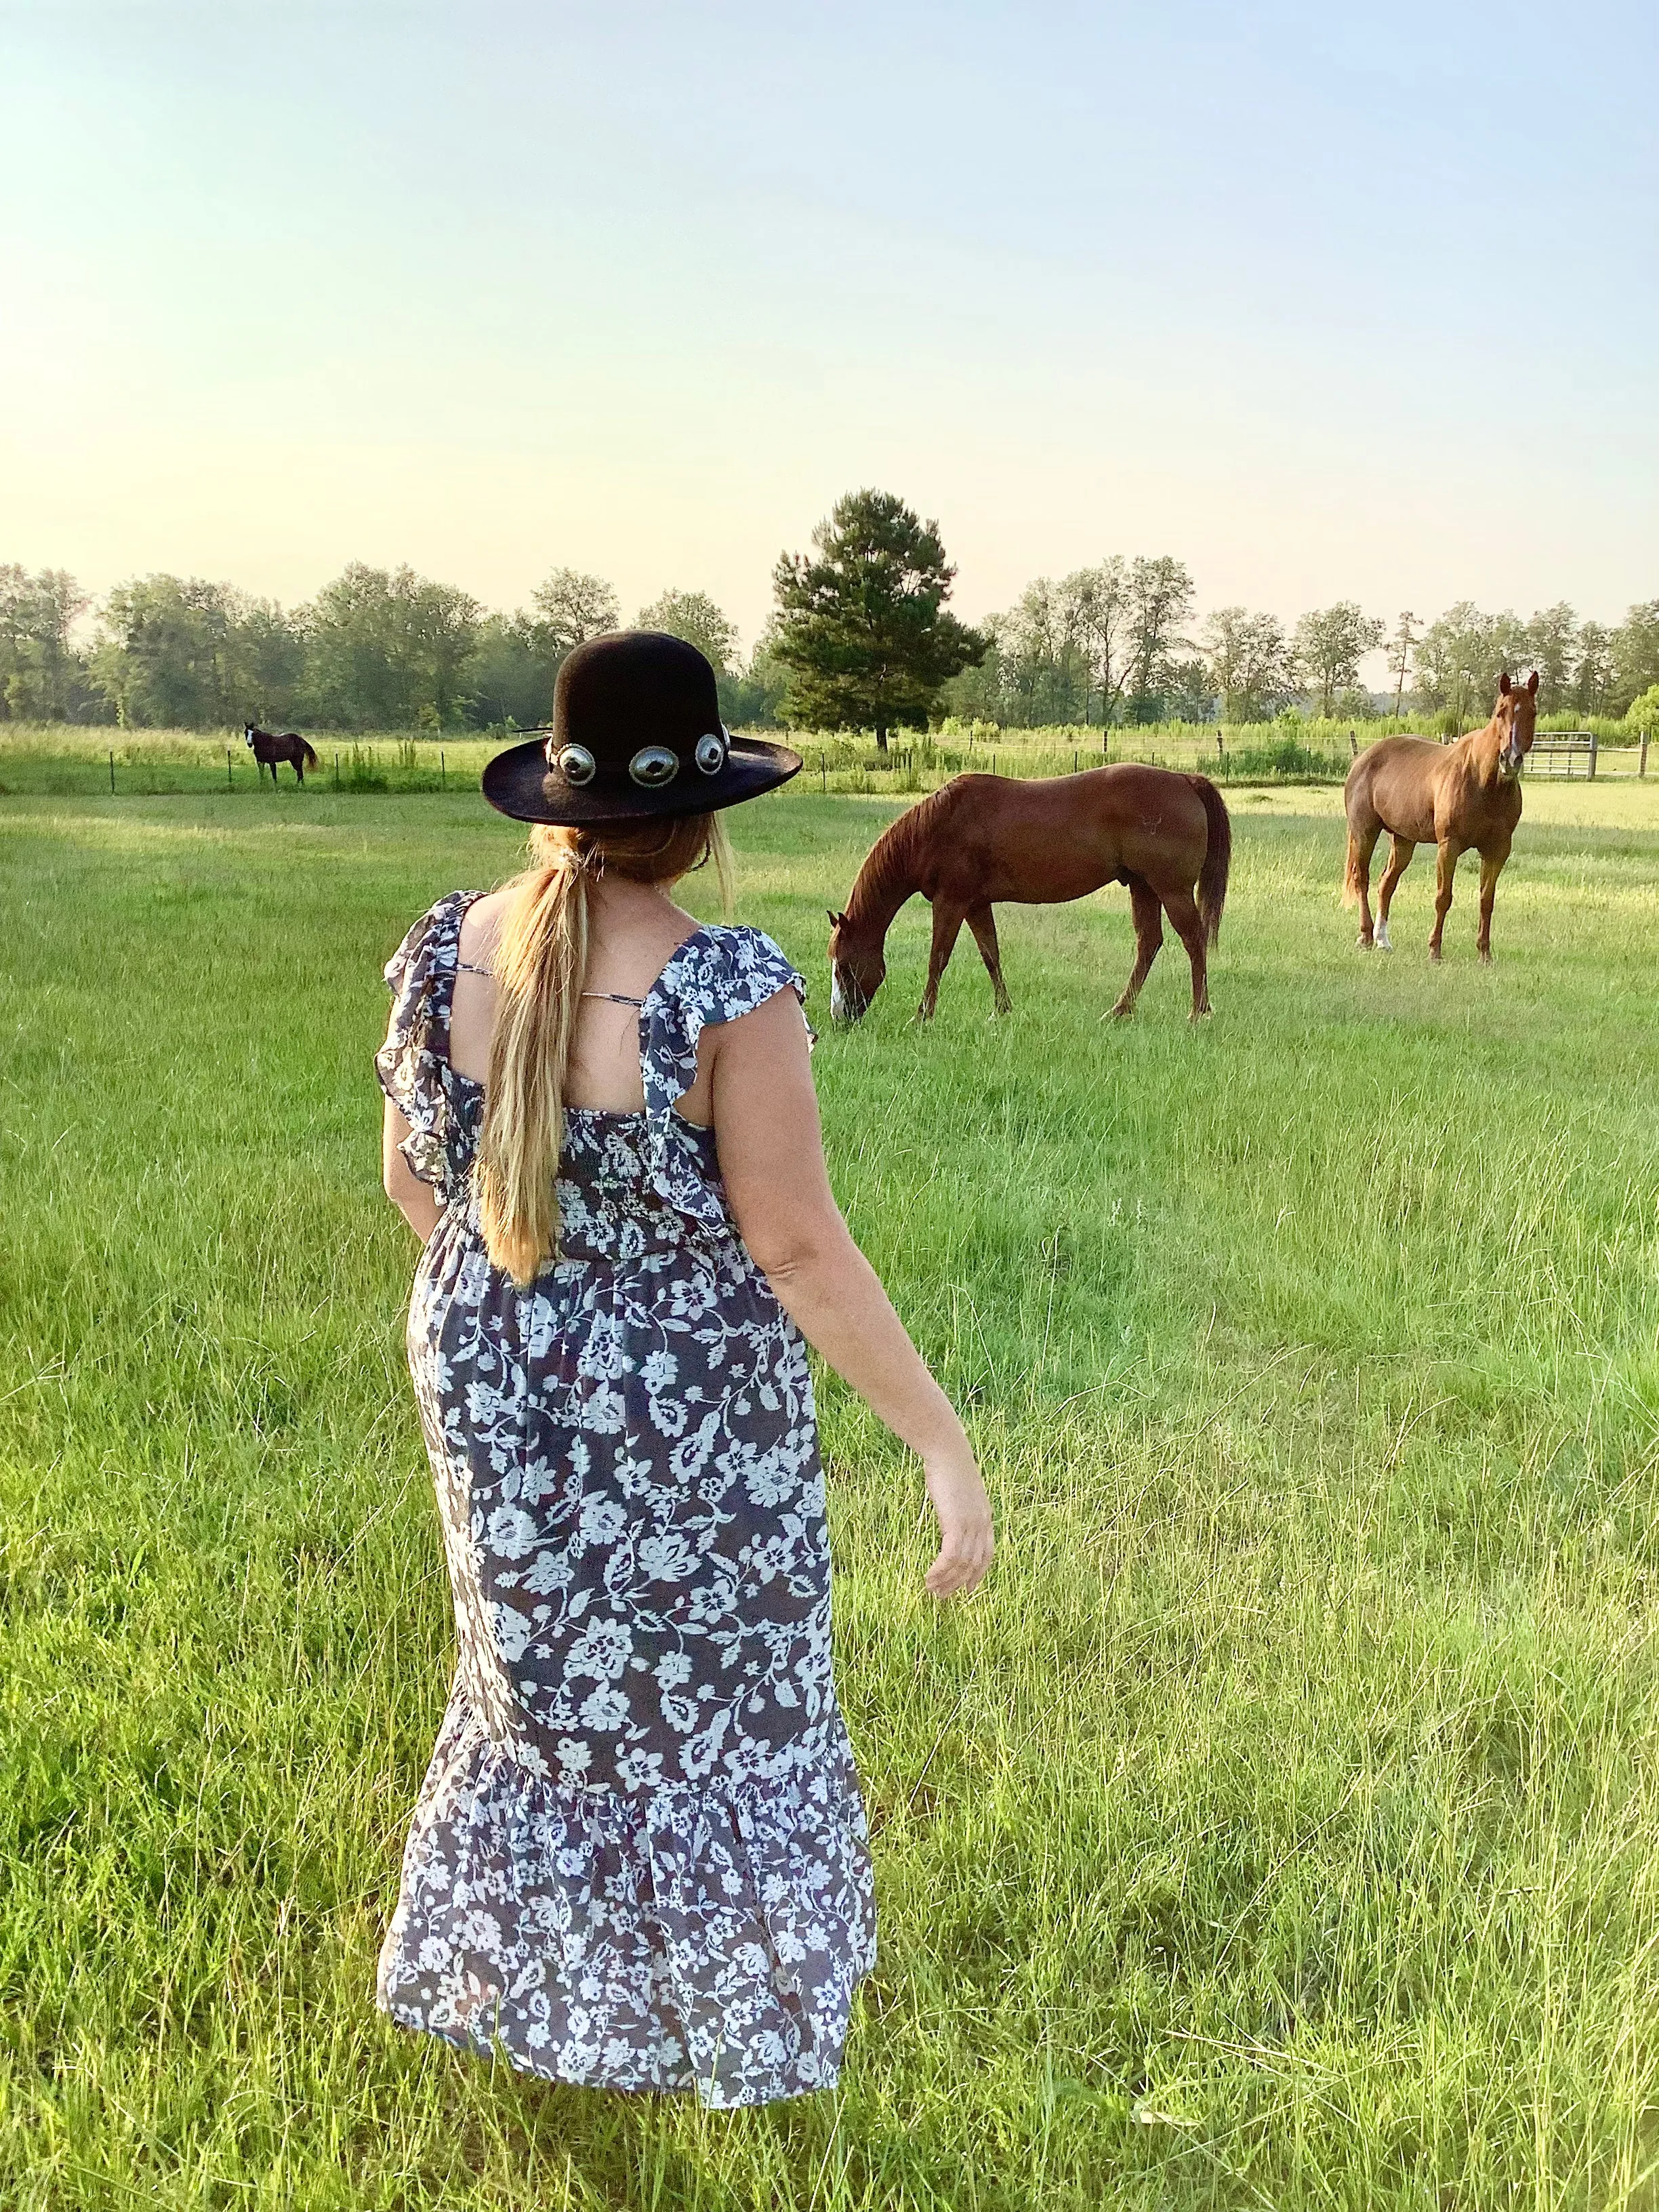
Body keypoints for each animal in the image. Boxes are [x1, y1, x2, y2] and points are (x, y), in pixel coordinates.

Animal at [832, 765, 1238, 1021]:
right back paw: (1120, 1010)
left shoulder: (951, 902)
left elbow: (938, 959)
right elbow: (990, 955)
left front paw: (922, 1016)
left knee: (1194, 940)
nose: (839, 1018)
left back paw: (1198, 1012)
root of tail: (1186, 780)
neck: (938, 826)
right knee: (1149, 943)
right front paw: (1002, 1011)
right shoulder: (976, 904)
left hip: (1171, 889)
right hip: (1143, 887)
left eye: (844, 966)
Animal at [1345, 663, 1539, 960]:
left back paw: (1382, 940)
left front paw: (1485, 954)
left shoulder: (1498, 850)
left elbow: (1487, 900)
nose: (1510, 759)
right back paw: (1366, 936)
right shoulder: (1449, 845)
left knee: (1386, 884)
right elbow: (1443, 897)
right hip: (1365, 833)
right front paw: (1434, 950)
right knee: (1362, 879)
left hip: (1403, 840)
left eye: (1533, 712)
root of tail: (1362, 760)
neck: (1483, 781)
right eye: (1500, 712)